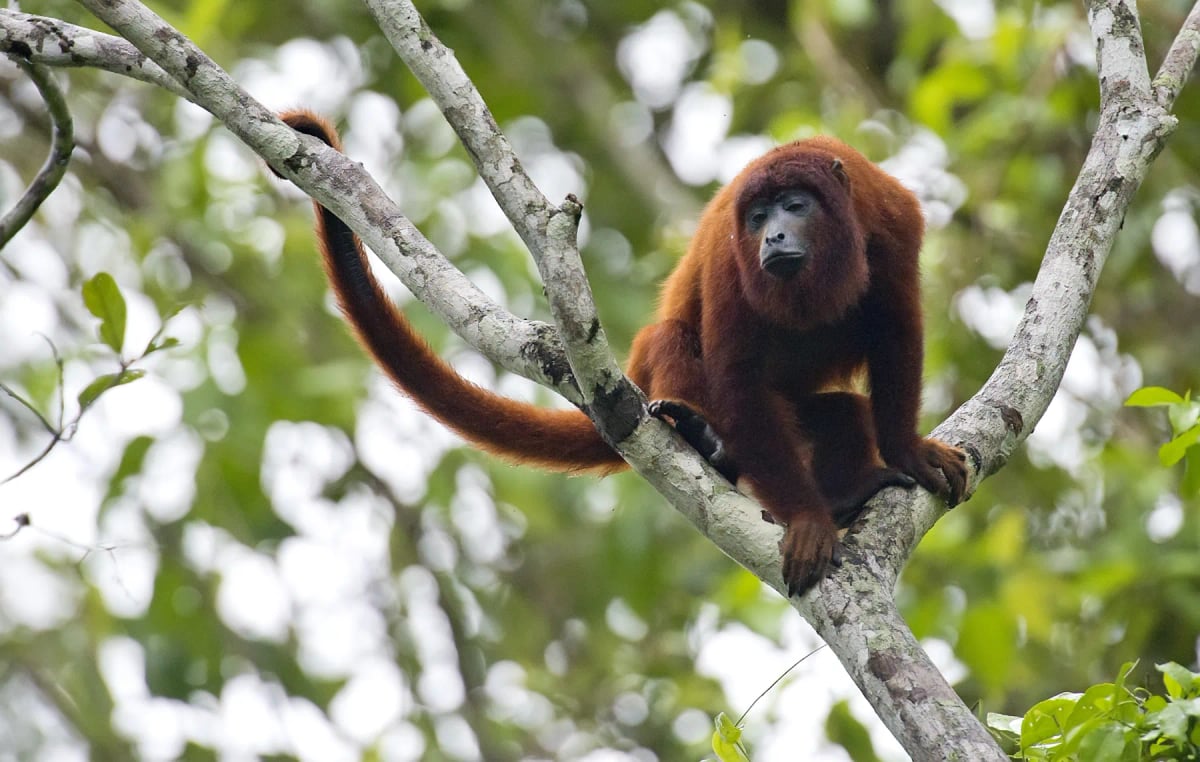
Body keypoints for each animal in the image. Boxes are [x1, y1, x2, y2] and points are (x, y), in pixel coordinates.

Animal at [275, 110, 968, 596]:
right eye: (756, 217)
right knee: (674, 342)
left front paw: (907, 453)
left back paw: (845, 490)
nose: (773, 235)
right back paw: (706, 441)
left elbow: (898, 332)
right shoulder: (728, 256)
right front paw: (807, 520)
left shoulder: (894, 221)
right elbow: (736, 370)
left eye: (795, 207)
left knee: (845, 412)